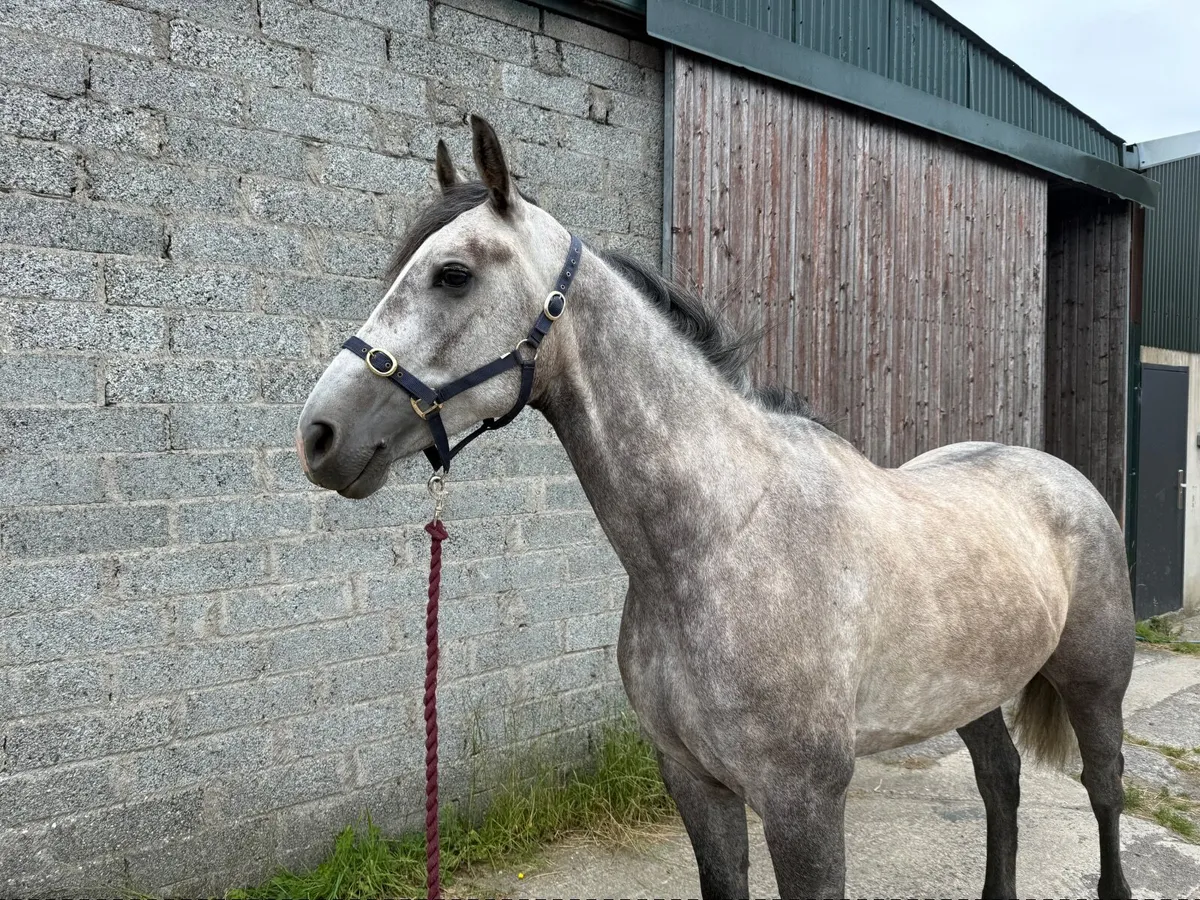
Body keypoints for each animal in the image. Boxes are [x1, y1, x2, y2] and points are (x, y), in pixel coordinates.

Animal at [296, 115, 1135, 899]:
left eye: (453, 274)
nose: (319, 434)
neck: (721, 539)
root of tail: (1062, 475)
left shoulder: (803, 803)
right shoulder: (693, 783)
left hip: (1095, 684)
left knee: (1103, 788)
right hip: (973, 693)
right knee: (1001, 781)